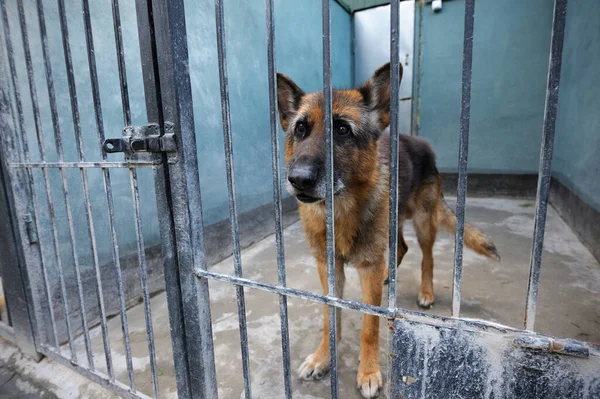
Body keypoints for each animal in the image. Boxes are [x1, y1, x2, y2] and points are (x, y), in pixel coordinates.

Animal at [276, 61, 496, 396]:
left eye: (343, 129)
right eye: (301, 129)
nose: (298, 180)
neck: (339, 210)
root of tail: (420, 142)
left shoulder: (367, 265)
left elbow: (370, 324)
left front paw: (368, 372)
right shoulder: (328, 266)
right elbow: (330, 315)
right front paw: (323, 356)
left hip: (423, 221)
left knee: (427, 257)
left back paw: (426, 292)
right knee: (401, 248)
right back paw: (387, 276)